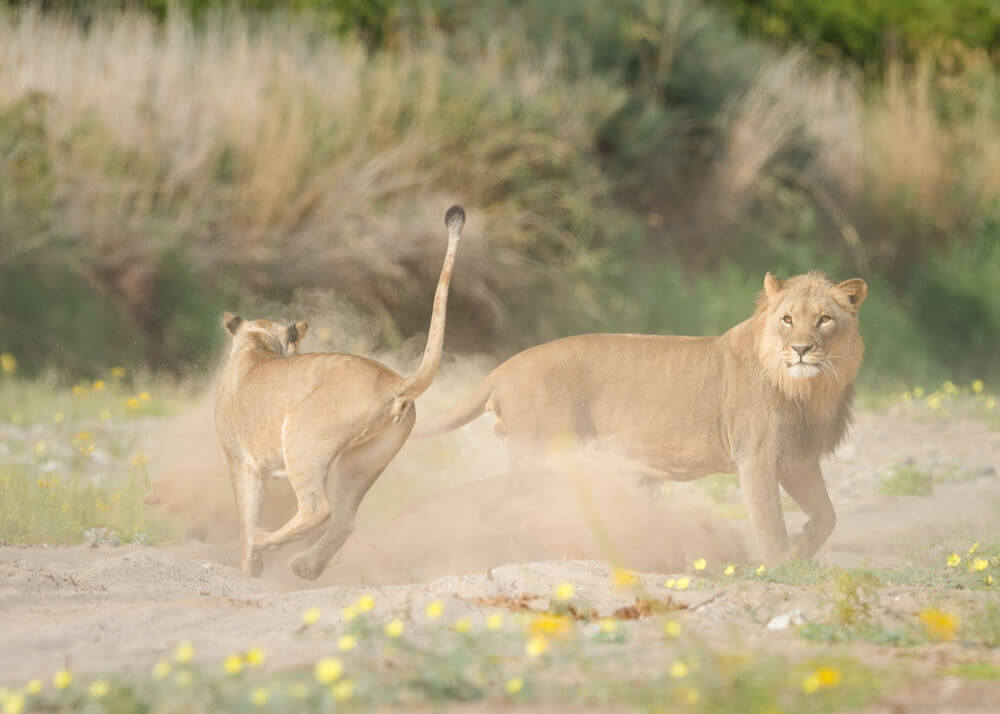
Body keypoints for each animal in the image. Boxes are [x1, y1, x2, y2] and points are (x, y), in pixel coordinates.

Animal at [217, 203, 466, 576]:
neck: (258, 342)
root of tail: (394, 381)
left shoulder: (238, 459)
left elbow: (247, 514)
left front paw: (249, 564)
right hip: (364, 459)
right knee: (344, 520)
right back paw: (304, 566)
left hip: (302, 439)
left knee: (318, 508)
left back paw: (267, 542)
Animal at [414, 270, 868, 564]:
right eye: (787, 319)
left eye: (825, 319)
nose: (802, 349)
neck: (809, 390)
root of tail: (503, 369)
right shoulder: (755, 458)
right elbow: (770, 524)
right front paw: (780, 569)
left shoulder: (797, 460)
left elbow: (827, 516)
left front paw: (802, 550)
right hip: (539, 456)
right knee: (498, 509)